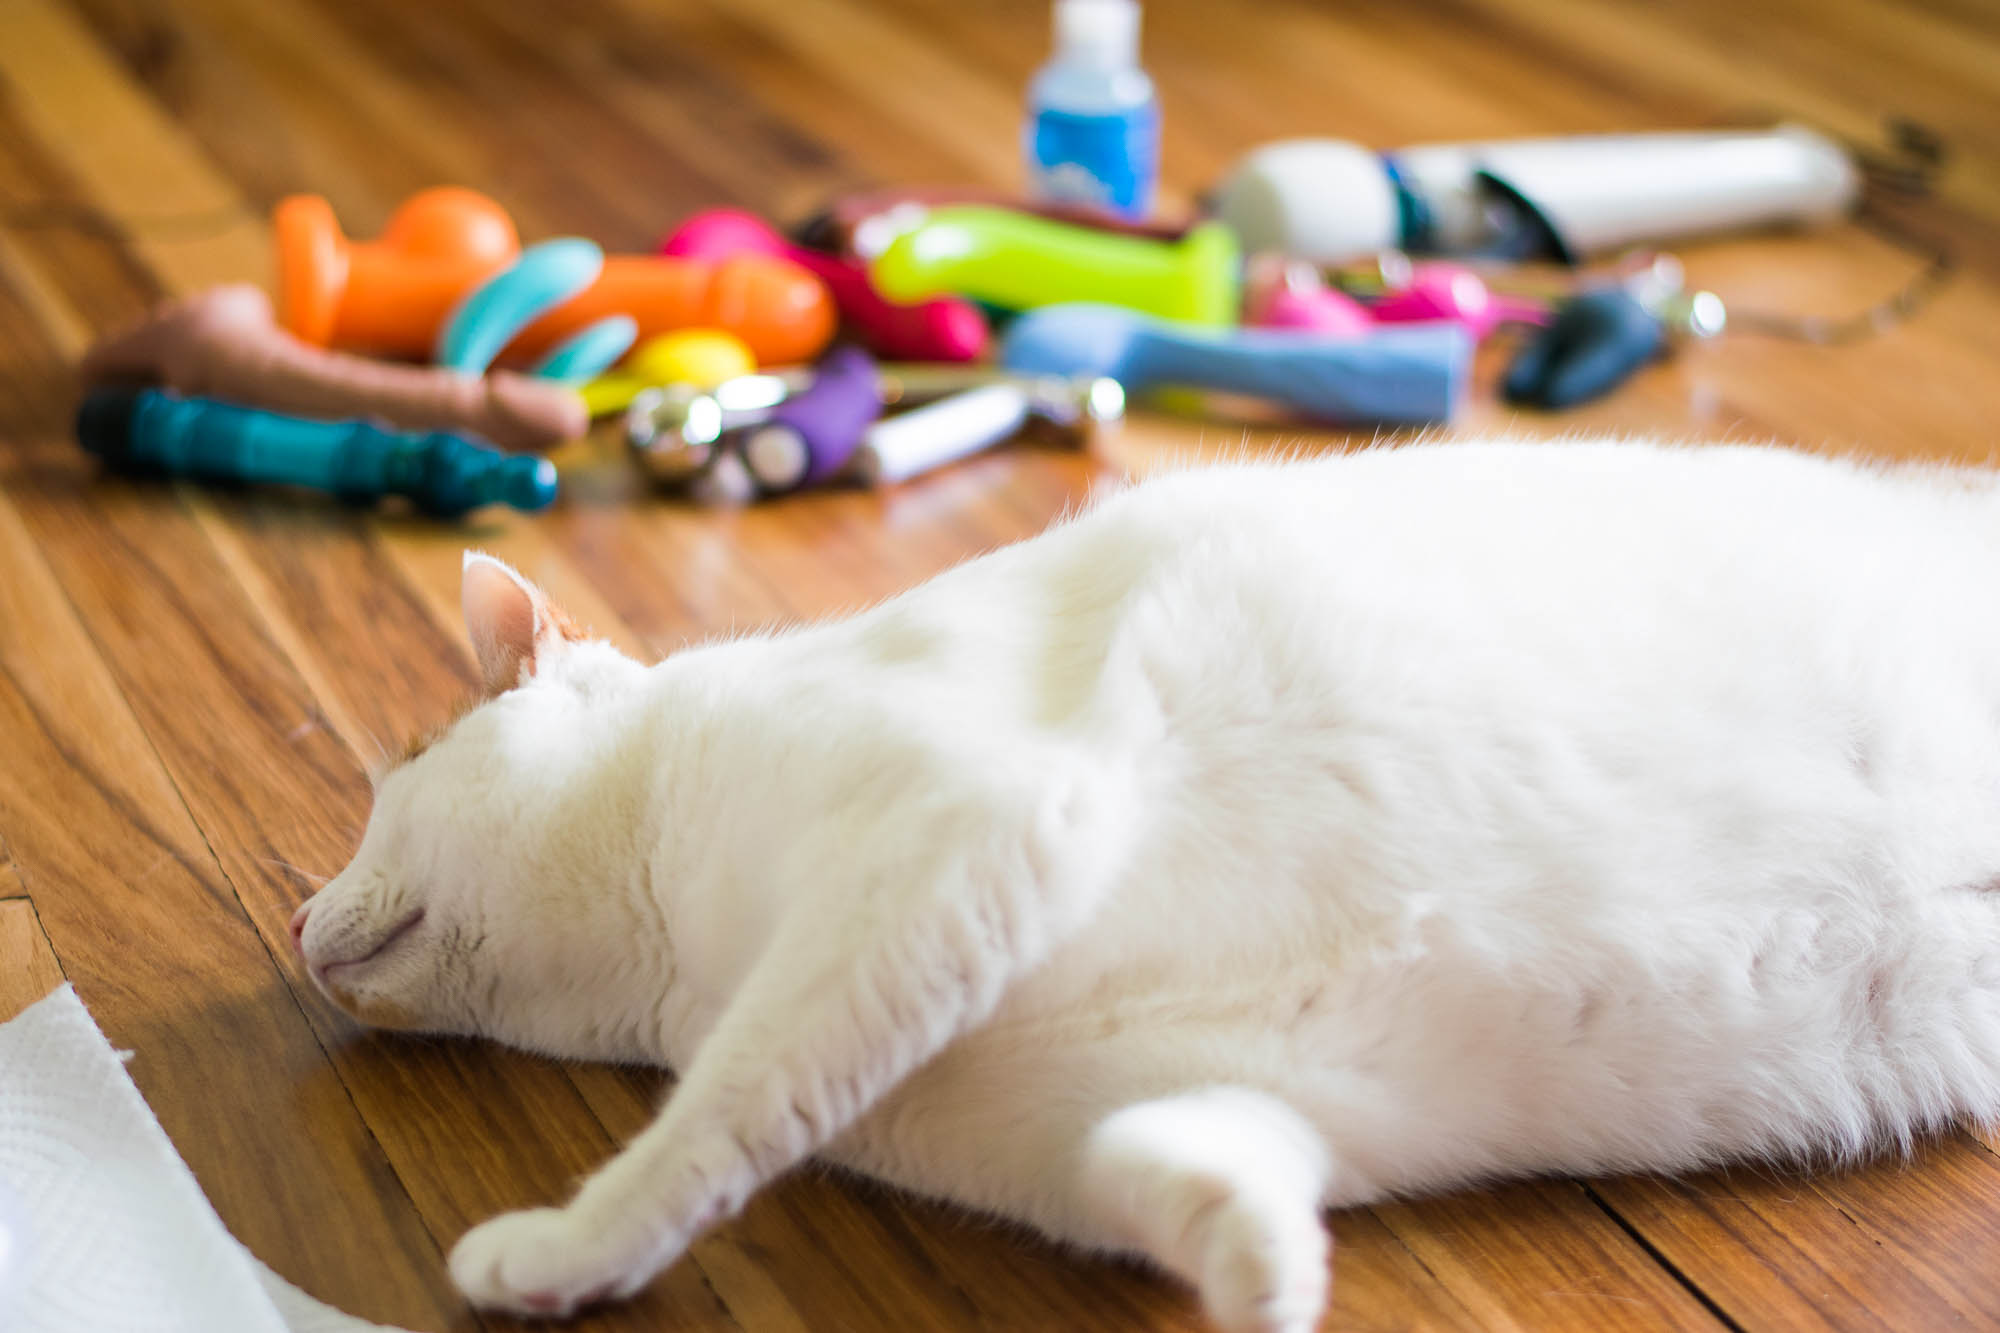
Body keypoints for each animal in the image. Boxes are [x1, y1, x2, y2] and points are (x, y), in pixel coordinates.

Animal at [286, 444, 2000, 1328]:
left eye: (394, 771)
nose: (292, 918)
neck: (674, 983)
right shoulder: (1166, 1107)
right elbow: (1199, 1177)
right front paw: (1270, 1285)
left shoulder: (960, 839)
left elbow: (711, 1120)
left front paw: (558, 1254)